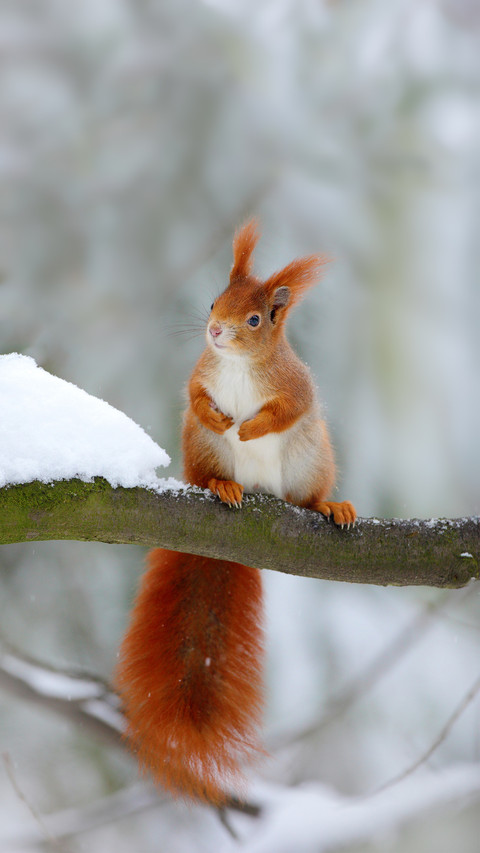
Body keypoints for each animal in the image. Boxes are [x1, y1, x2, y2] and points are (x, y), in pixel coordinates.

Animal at [114, 220, 356, 805]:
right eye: (212, 302)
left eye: (254, 319)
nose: (216, 332)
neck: (239, 366)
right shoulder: (200, 376)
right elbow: (196, 397)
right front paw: (223, 418)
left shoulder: (295, 387)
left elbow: (284, 410)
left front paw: (250, 427)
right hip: (201, 454)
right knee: (207, 471)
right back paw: (223, 486)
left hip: (308, 462)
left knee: (306, 498)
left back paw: (330, 504)